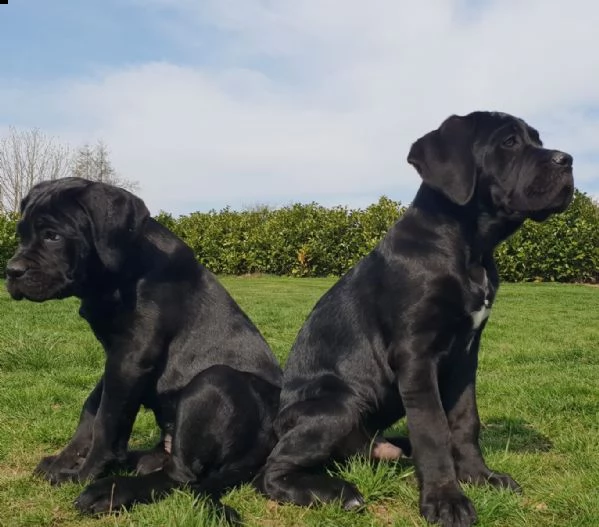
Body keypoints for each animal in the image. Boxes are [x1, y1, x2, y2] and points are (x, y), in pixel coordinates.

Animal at [6, 178, 284, 524]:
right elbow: (93, 408)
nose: (11, 271)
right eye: (21, 234)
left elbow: (107, 420)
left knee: (182, 476)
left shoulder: (132, 355)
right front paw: (65, 461)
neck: (120, 273)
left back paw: (109, 490)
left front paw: (82, 475)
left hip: (216, 380)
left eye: (52, 235)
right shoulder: (116, 355)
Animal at [255, 112, 576, 527]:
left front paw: (480, 477)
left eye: (537, 139)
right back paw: (336, 493)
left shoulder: (465, 356)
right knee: (270, 471)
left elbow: (464, 422)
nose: (567, 161)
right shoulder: (415, 356)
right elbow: (433, 430)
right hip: (338, 405)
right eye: (508, 142)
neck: (468, 249)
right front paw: (446, 501)